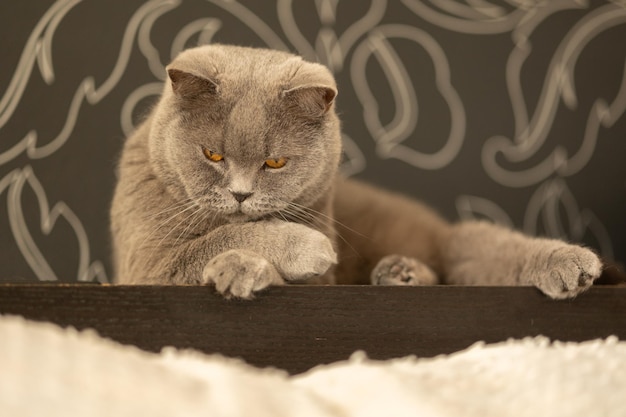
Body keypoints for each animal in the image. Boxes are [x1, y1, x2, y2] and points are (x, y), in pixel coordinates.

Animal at [109, 44, 604, 300]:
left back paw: (571, 266)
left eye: (275, 162)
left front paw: (255, 262)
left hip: (450, 240)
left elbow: (227, 236)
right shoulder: (144, 267)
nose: (241, 194)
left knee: (484, 252)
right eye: (212, 155)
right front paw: (263, 259)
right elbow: (217, 240)